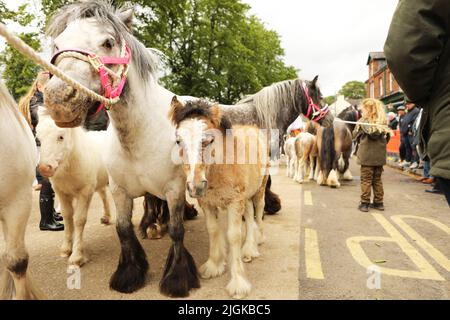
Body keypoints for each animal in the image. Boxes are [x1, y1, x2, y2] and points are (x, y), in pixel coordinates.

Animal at [35, 111, 111, 266]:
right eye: (38, 139)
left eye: (61, 137)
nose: (44, 168)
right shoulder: (62, 193)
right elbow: (67, 217)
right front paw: (66, 249)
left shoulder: (85, 192)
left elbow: (79, 220)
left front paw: (77, 256)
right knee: (103, 194)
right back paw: (106, 217)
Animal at [169, 98, 268, 300]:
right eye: (178, 141)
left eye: (209, 140)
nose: (196, 186)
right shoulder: (207, 203)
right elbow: (213, 230)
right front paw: (213, 265)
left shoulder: (234, 203)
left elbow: (233, 236)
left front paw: (238, 282)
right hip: (246, 196)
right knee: (249, 214)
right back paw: (248, 249)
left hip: (259, 189)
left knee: (259, 210)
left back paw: (257, 242)